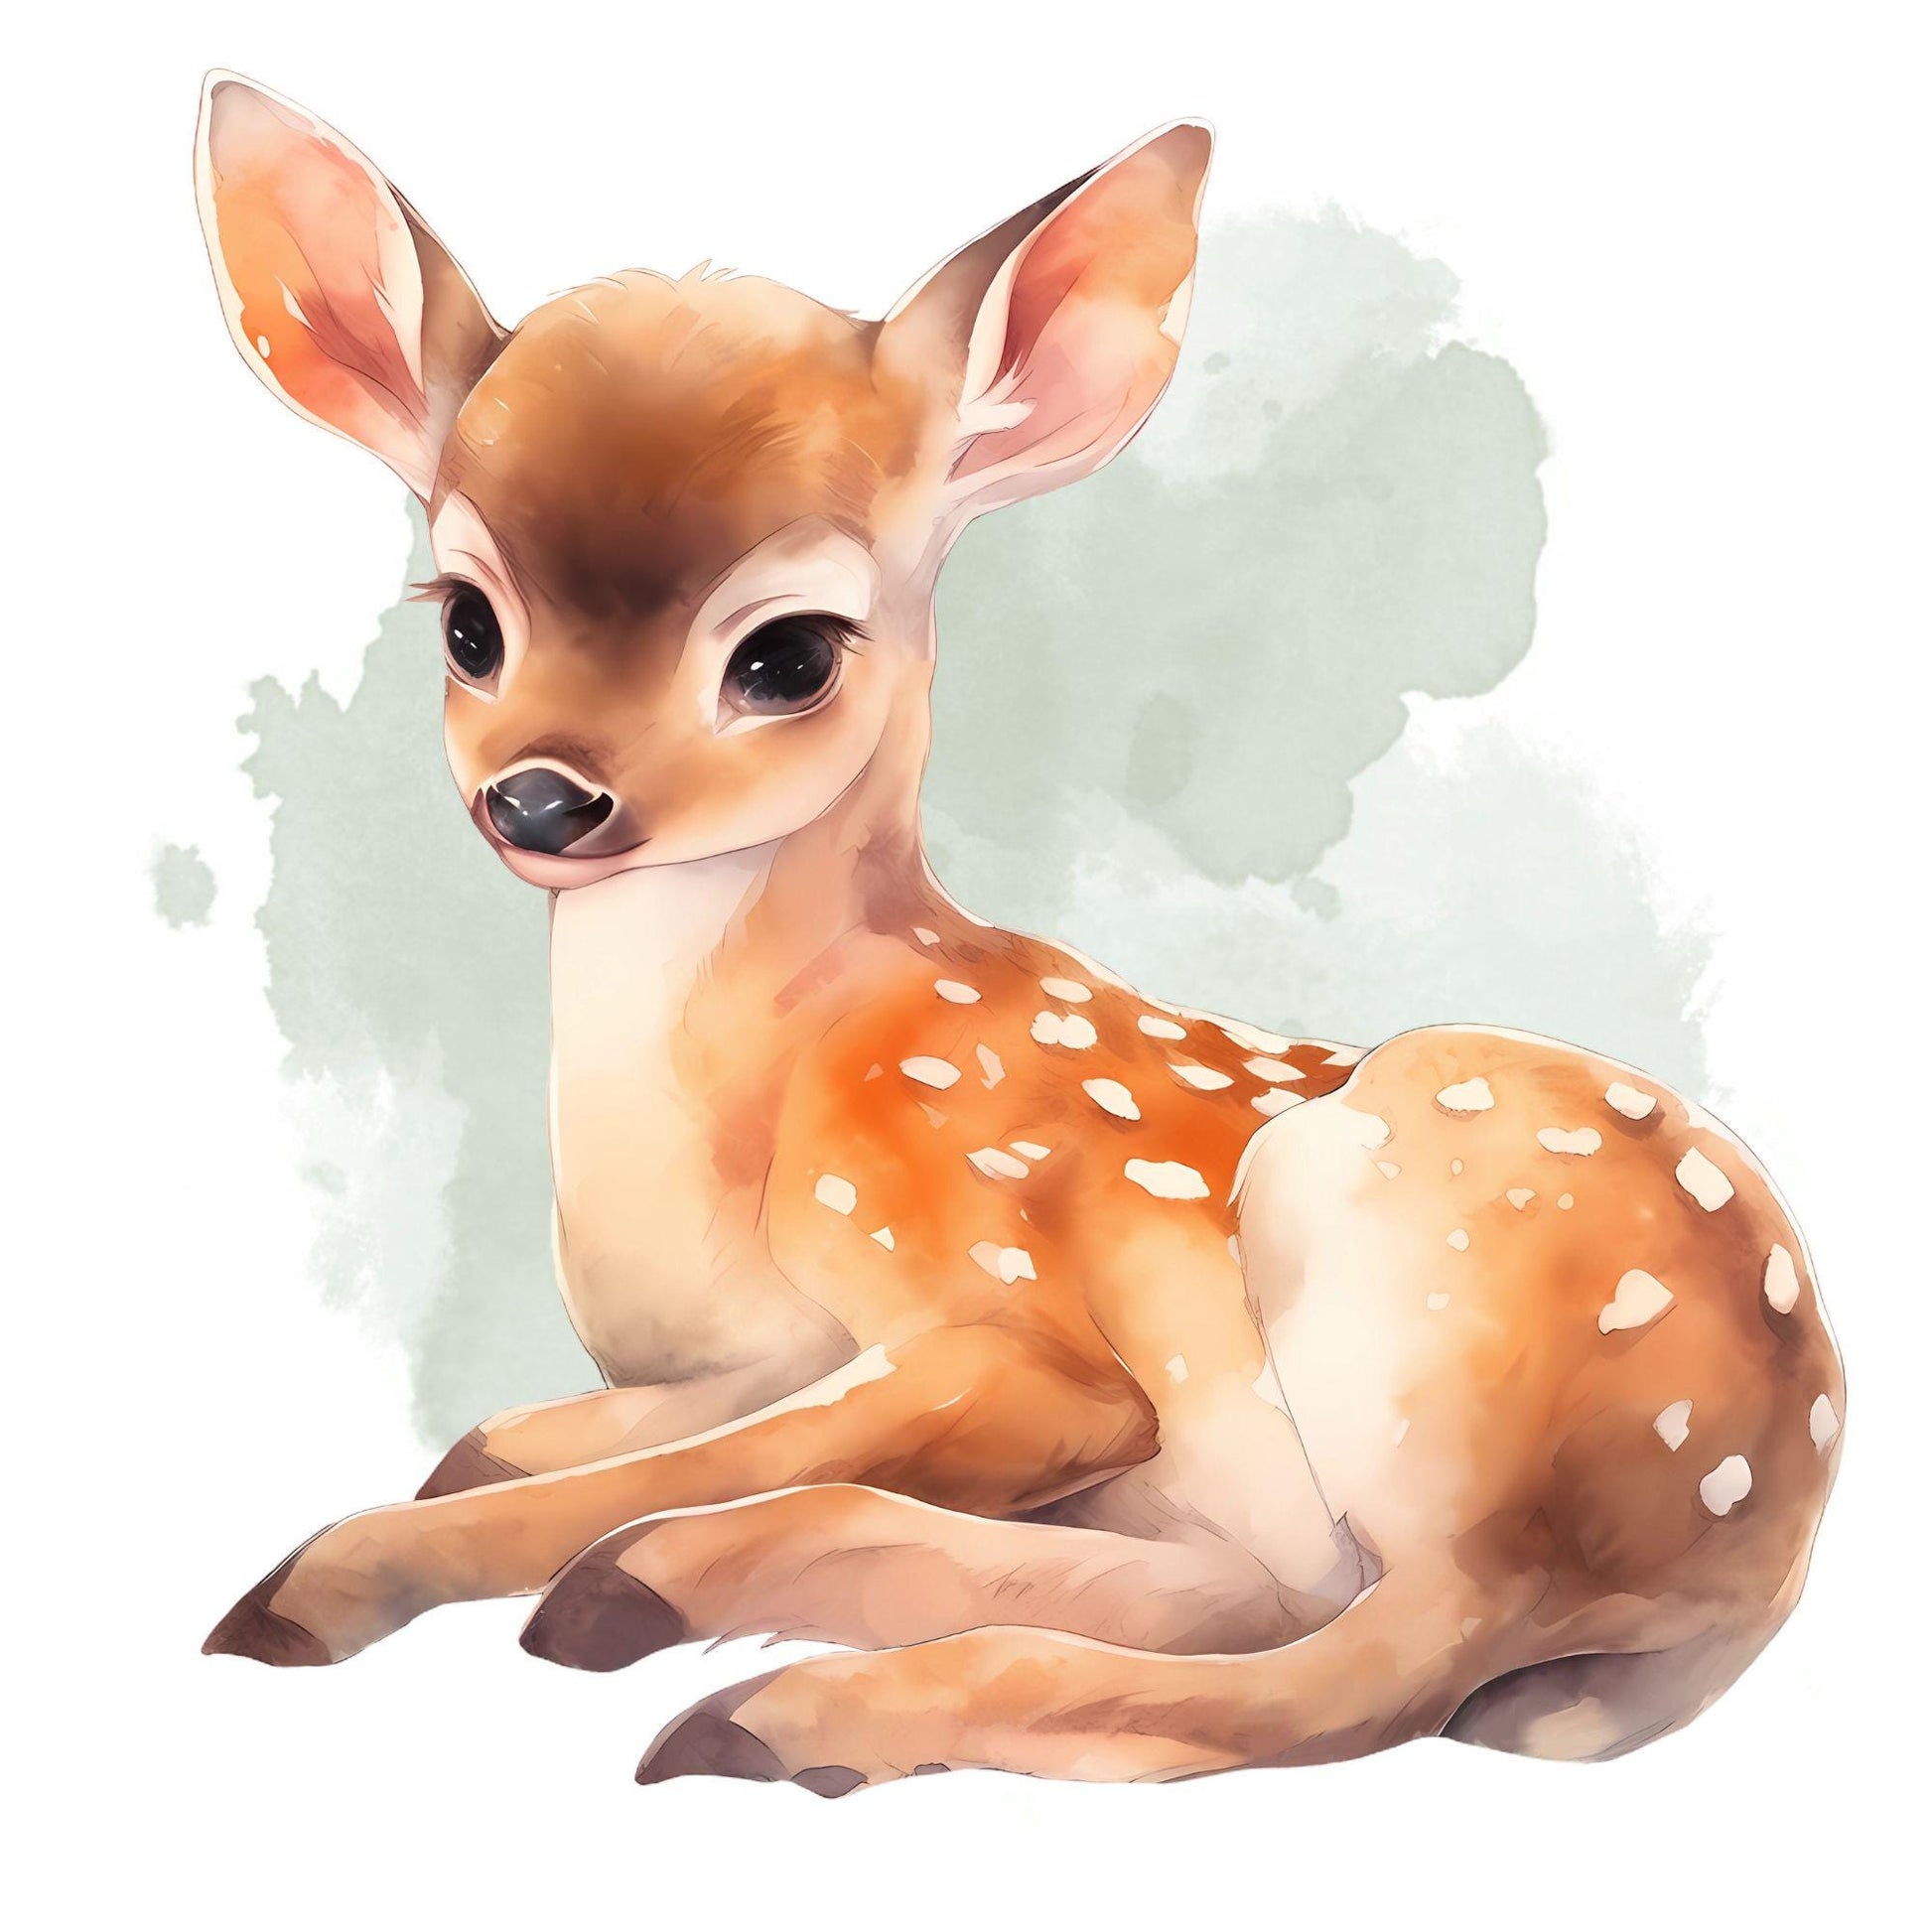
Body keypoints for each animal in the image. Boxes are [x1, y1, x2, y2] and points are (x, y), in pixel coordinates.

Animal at [192, 71, 1845, 1794]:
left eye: (787, 653)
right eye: (466, 623)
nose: (540, 797)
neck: (760, 1108)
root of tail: (1768, 1526)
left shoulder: (1014, 1325)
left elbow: (757, 1440)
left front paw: (341, 1575)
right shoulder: (763, 1349)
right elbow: (542, 1434)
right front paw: (437, 1499)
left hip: (1412, 1287)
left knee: (1365, 1670)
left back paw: (721, 1674)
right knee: (1269, 1610)